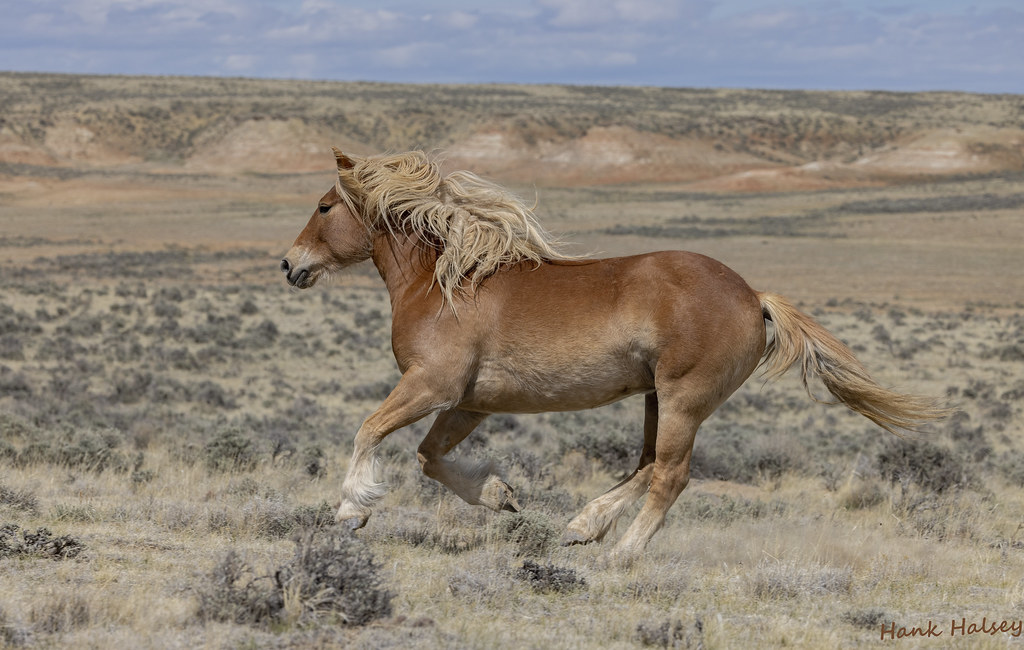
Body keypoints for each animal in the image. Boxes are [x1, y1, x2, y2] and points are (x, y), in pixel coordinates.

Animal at [280, 148, 950, 555]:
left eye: (323, 206)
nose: (290, 265)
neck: (443, 281)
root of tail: (752, 295)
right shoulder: (469, 403)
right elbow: (428, 458)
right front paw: (500, 496)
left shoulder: (432, 385)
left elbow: (369, 431)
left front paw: (351, 511)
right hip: (657, 398)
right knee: (648, 464)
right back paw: (582, 527)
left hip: (684, 398)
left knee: (671, 474)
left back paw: (623, 554)